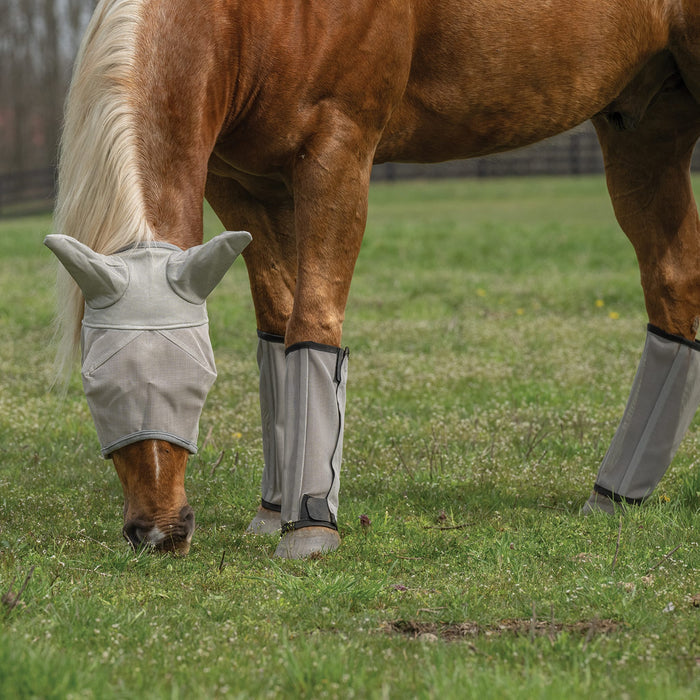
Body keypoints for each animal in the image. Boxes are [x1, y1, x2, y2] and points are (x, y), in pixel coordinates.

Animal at [50, 0, 700, 557]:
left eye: (200, 384)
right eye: (95, 386)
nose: (160, 533)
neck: (254, 18)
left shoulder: (338, 153)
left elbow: (311, 323)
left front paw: (309, 529)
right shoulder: (242, 186)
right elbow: (277, 327)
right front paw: (273, 512)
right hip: (642, 129)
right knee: (674, 289)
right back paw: (616, 494)